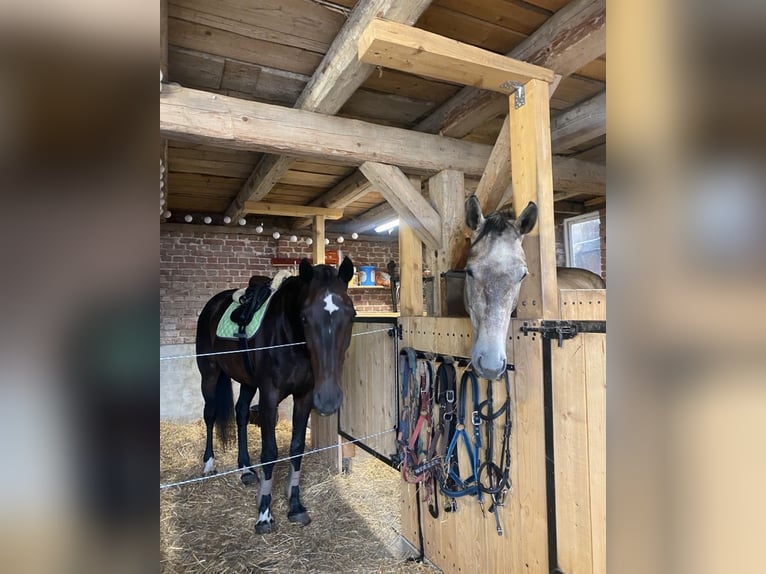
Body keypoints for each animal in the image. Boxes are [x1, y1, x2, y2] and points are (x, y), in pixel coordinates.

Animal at [196, 257, 356, 533]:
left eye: (352, 316)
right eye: (304, 317)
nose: (328, 399)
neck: (288, 337)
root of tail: (213, 304)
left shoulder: (304, 397)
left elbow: (296, 448)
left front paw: (295, 505)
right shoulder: (269, 397)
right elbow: (270, 452)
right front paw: (265, 514)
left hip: (247, 381)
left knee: (240, 413)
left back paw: (246, 469)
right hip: (210, 374)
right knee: (210, 414)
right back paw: (209, 464)